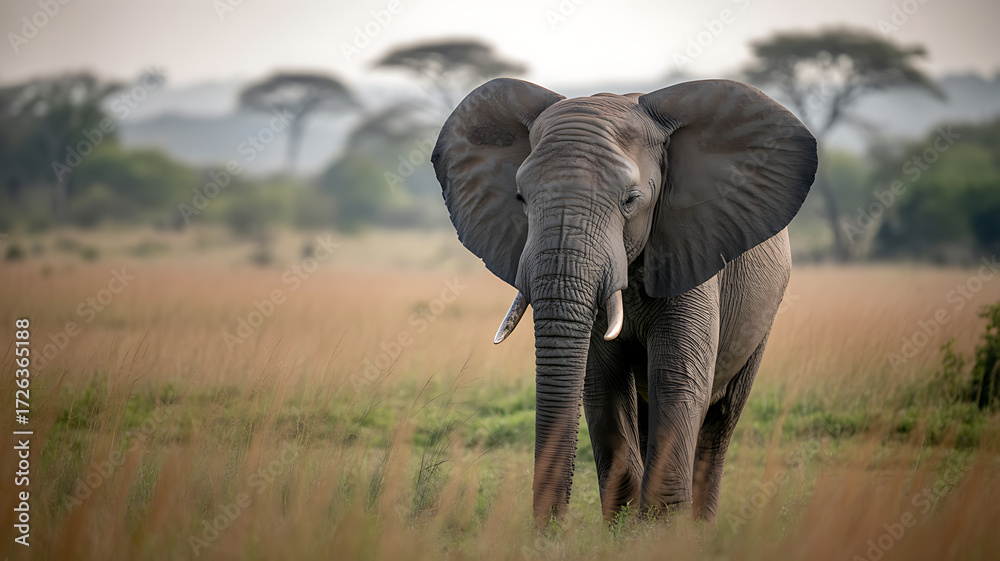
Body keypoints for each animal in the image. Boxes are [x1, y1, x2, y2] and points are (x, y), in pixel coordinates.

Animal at [430, 77, 817, 524]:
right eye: (520, 198)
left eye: (631, 200)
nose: (551, 530)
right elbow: (602, 387)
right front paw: (623, 529)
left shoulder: (690, 255)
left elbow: (678, 381)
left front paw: (658, 529)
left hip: (764, 313)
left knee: (721, 419)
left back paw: (700, 527)